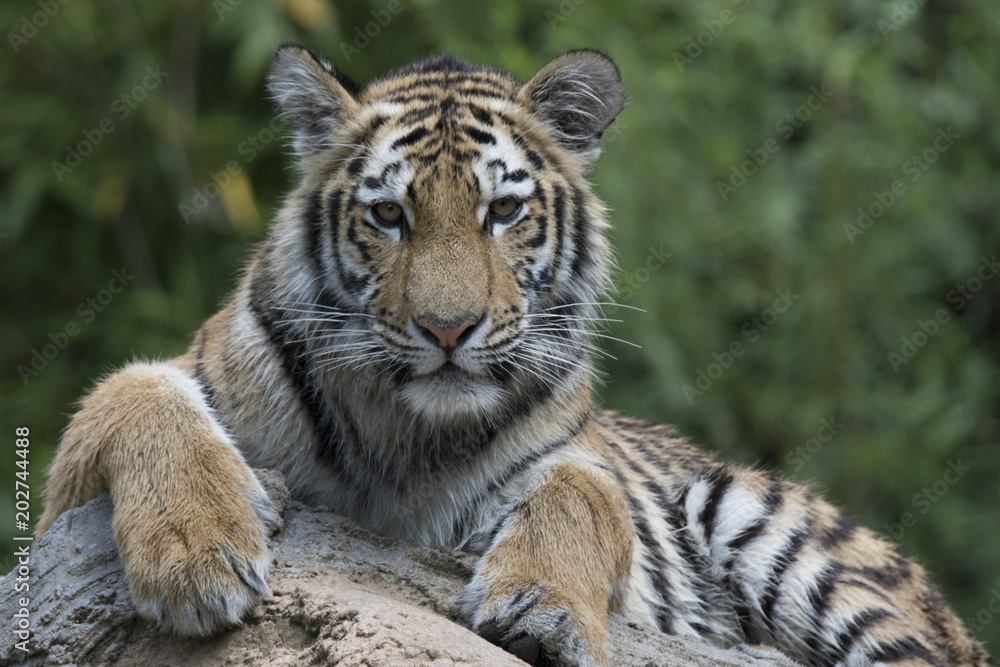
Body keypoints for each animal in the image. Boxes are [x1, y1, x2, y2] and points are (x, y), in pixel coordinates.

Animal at [37, 44, 991, 667]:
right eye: (390, 216)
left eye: (502, 211)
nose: (448, 328)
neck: (406, 430)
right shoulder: (71, 486)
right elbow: (137, 393)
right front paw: (195, 558)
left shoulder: (579, 459)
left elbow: (581, 498)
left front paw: (541, 610)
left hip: (766, 519)